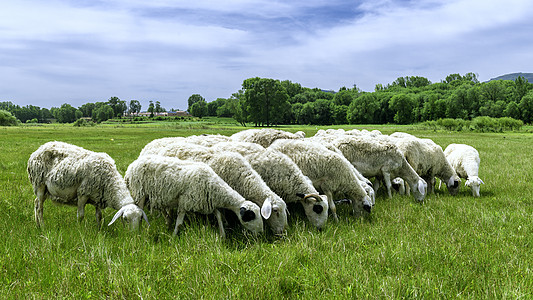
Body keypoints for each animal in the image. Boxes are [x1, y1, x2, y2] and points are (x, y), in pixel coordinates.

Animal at [124, 155, 262, 237]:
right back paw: (138, 231)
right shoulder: (185, 202)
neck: (213, 186)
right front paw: (173, 237)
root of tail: (131, 166)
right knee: (139, 212)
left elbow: (218, 215)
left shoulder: (208, 202)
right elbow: (179, 223)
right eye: (251, 216)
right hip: (140, 193)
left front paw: (222, 235)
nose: (261, 233)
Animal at [138, 141, 286, 234]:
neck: (243, 177)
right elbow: (222, 212)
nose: (283, 232)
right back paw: (168, 220)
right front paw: (226, 225)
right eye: (276, 211)